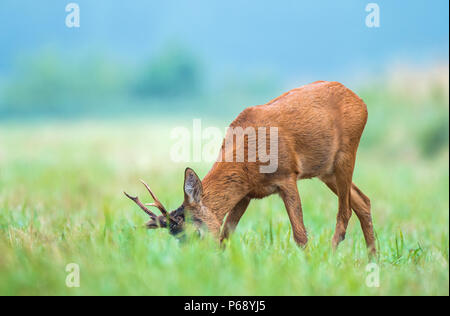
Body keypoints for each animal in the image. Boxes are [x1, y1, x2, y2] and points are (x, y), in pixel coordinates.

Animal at [124, 80, 376, 256]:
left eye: (195, 233)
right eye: (176, 239)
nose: (194, 261)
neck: (248, 159)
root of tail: (361, 102)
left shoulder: (287, 176)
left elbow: (300, 235)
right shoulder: (245, 193)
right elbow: (225, 235)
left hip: (346, 154)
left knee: (345, 212)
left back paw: (332, 257)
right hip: (326, 170)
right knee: (363, 201)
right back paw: (373, 259)